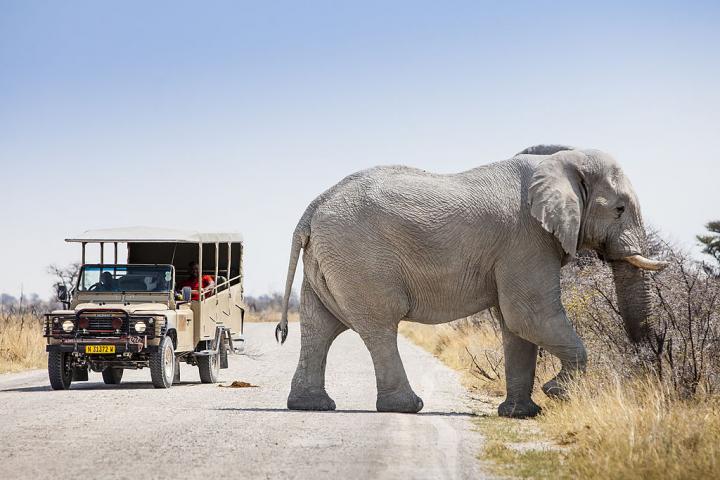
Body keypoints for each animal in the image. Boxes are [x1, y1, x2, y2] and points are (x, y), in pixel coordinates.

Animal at [275, 144, 667, 418]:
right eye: (619, 209)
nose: (649, 368)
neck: (560, 161)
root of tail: (311, 209)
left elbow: (515, 326)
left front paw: (521, 414)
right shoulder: (526, 239)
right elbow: (529, 316)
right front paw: (557, 393)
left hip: (328, 259)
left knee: (319, 326)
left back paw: (312, 405)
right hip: (359, 258)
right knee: (378, 327)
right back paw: (407, 406)